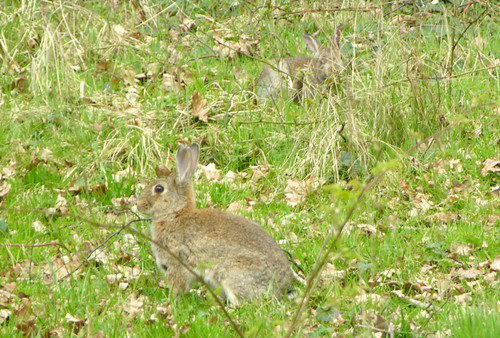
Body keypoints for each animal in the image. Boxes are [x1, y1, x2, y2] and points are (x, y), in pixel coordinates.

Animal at [135, 143, 294, 306]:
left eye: (159, 189)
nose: (138, 204)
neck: (175, 213)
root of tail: (283, 287)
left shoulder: (177, 264)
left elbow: (178, 285)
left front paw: (171, 301)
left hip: (232, 274)